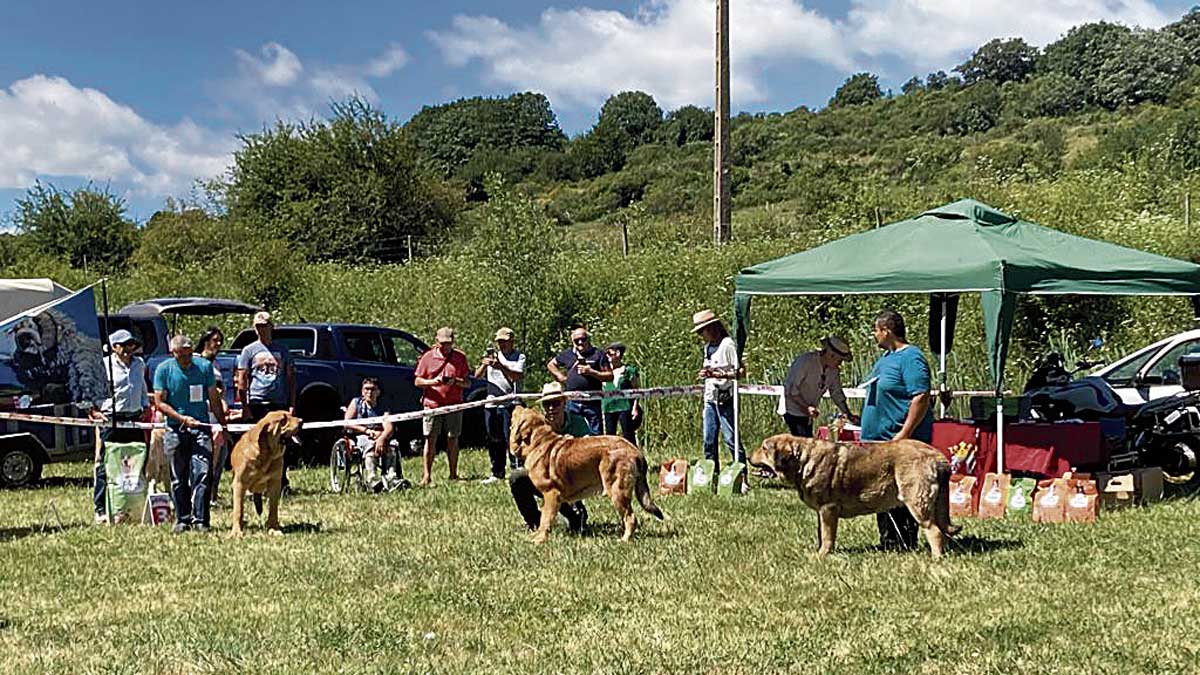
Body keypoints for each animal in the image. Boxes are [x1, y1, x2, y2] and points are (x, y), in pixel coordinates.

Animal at [508, 403, 667, 540]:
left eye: (520, 411)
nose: (515, 404)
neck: (538, 442)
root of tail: (635, 450)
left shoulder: (551, 494)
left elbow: (545, 519)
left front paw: (540, 539)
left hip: (617, 491)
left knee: (630, 517)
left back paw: (624, 539)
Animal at [748, 429, 955, 557]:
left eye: (764, 448)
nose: (749, 457)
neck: (802, 461)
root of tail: (937, 456)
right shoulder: (822, 512)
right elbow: (822, 533)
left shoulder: (828, 509)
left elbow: (827, 535)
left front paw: (822, 555)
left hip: (917, 502)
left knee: (934, 531)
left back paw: (936, 558)